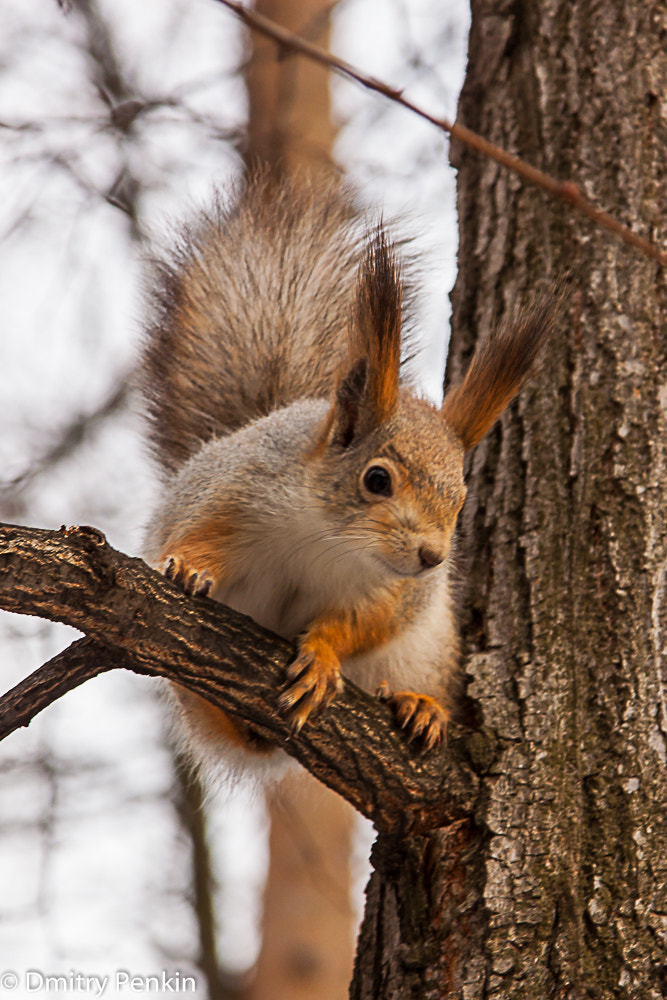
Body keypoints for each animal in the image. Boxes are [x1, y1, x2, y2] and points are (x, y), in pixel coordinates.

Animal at [141, 172, 552, 772]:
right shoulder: (235, 492)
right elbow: (196, 535)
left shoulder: (393, 593)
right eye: (377, 479)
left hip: (426, 652)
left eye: (460, 501)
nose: (432, 557)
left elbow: (364, 624)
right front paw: (191, 567)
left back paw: (418, 704)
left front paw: (321, 657)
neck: (329, 537)